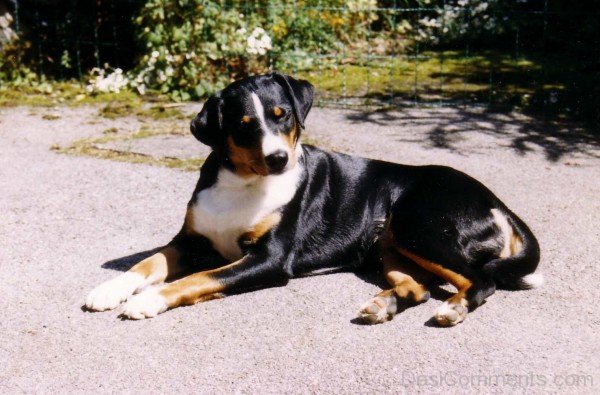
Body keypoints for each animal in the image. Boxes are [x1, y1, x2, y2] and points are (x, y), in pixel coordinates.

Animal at [85, 72, 544, 326]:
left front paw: (147, 301)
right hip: (390, 243)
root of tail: (495, 201)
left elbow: (197, 279)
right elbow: (149, 263)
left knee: (479, 281)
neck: (242, 184)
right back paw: (383, 305)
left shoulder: (269, 259)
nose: (278, 158)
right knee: (419, 288)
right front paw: (109, 291)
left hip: (417, 225)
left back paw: (452, 310)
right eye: (244, 125)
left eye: (282, 115)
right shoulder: (189, 240)